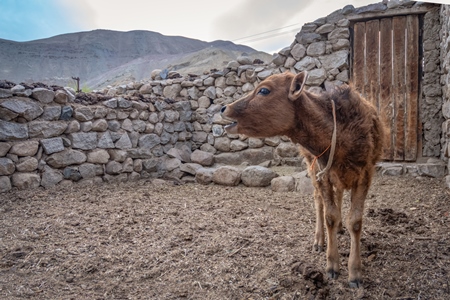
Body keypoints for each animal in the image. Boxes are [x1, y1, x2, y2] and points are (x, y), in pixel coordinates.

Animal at [220, 71, 384, 288]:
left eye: (263, 90)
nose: (224, 107)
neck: (340, 141)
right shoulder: (321, 170)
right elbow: (330, 216)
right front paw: (332, 266)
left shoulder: (366, 171)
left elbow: (355, 222)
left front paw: (355, 274)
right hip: (311, 167)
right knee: (319, 201)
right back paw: (319, 240)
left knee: (338, 195)